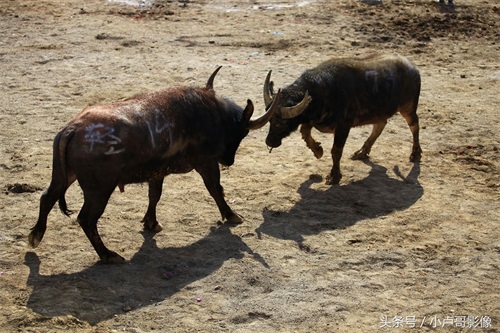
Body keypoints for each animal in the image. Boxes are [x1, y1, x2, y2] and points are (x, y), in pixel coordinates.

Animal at [28, 67, 282, 264]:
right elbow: (215, 189)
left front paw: (151, 222)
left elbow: (154, 195)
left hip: (65, 176)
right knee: (86, 219)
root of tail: (73, 128)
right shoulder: (206, 162)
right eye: (241, 134)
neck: (211, 115)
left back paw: (35, 236)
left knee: (47, 197)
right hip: (99, 191)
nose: (228, 160)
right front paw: (231, 215)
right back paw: (108, 255)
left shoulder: (157, 172)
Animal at [262, 53, 422, 185]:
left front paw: (334, 176)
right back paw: (362, 152)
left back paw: (415, 154)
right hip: (379, 112)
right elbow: (304, 132)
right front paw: (318, 150)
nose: (269, 141)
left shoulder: (343, 126)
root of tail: (413, 68)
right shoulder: (313, 119)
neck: (324, 90)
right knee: (380, 124)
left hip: (408, 107)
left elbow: (336, 151)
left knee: (414, 125)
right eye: (270, 120)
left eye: (282, 122)